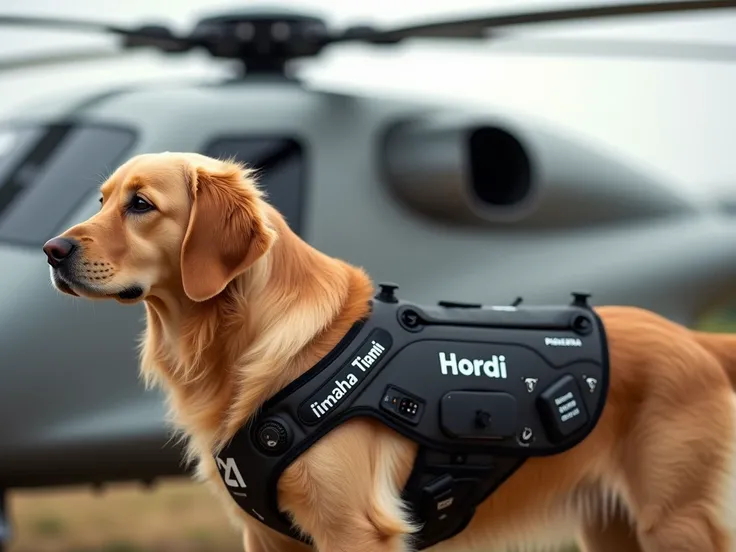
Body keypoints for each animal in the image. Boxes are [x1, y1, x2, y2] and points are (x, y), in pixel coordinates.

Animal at [43, 149, 736, 548]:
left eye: (141, 204)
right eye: (102, 199)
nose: (53, 250)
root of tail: (695, 340)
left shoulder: (354, 529)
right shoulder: (269, 538)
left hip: (675, 521)